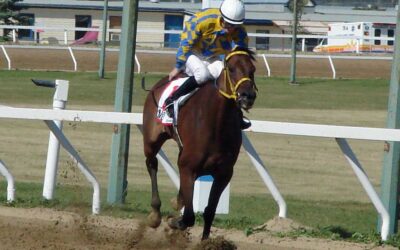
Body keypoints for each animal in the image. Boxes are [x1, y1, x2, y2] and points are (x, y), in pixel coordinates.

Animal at [142, 47, 258, 240]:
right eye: (231, 69)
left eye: (253, 70)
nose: (248, 96)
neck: (216, 124)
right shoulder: (189, 167)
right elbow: (189, 217)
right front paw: (173, 221)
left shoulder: (224, 173)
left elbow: (209, 212)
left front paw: (205, 241)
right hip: (151, 140)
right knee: (152, 164)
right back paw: (155, 214)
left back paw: (177, 200)